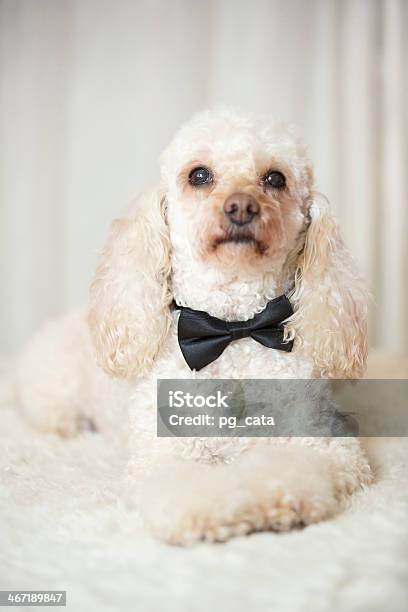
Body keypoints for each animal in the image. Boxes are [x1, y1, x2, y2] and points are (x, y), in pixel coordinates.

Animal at [17, 107, 372, 544]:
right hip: (55, 399)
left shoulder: (328, 445)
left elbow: (291, 467)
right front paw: (223, 511)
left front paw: (277, 499)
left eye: (275, 178)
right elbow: (194, 490)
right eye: (199, 175)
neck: (233, 330)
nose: (241, 206)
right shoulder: (165, 458)